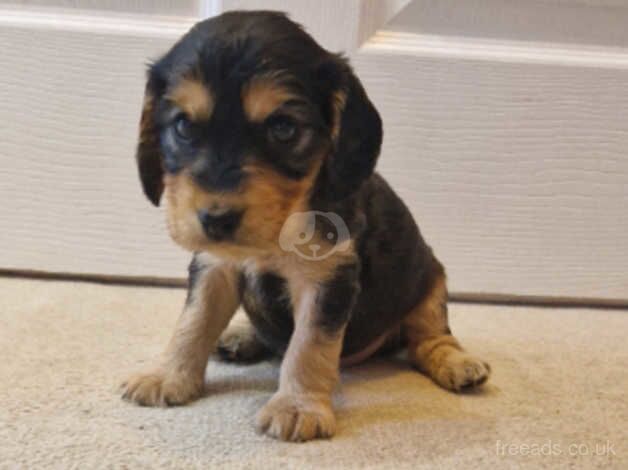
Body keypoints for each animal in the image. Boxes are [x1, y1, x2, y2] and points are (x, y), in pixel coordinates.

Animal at [120, 11, 488, 444]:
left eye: (283, 128)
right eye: (183, 126)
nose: (216, 218)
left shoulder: (327, 278)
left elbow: (308, 345)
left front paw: (297, 407)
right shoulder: (214, 266)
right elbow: (193, 322)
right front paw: (167, 376)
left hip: (431, 278)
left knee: (428, 335)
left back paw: (457, 363)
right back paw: (242, 335)